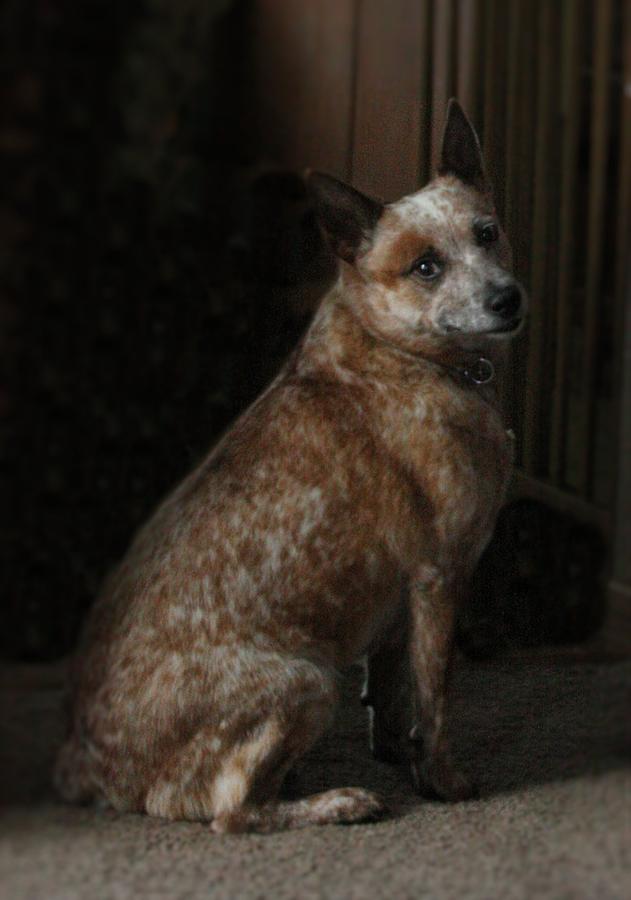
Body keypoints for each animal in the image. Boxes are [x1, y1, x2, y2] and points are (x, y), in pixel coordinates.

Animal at [54, 98, 528, 828]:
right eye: (424, 267)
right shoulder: (439, 576)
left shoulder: (399, 600)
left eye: (487, 233)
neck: (403, 352)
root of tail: (85, 768)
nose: (507, 298)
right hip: (309, 678)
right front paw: (443, 781)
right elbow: (436, 697)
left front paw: (397, 754)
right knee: (233, 811)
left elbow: (394, 691)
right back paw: (337, 802)